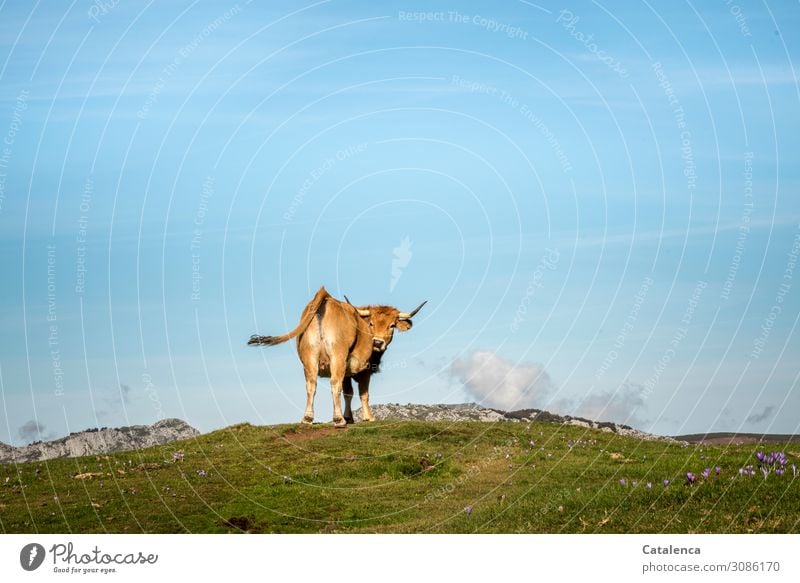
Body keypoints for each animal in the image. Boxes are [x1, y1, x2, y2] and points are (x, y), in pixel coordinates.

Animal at [248, 288, 424, 428]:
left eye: (392, 325)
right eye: (371, 324)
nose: (377, 342)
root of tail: (326, 298)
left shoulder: (347, 370)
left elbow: (348, 393)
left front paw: (350, 417)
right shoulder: (364, 369)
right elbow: (362, 393)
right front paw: (368, 417)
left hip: (310, 357)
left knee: (311, 385)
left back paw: (308, 418)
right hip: (337, 357)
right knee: (334, 384)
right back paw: (338, 420)